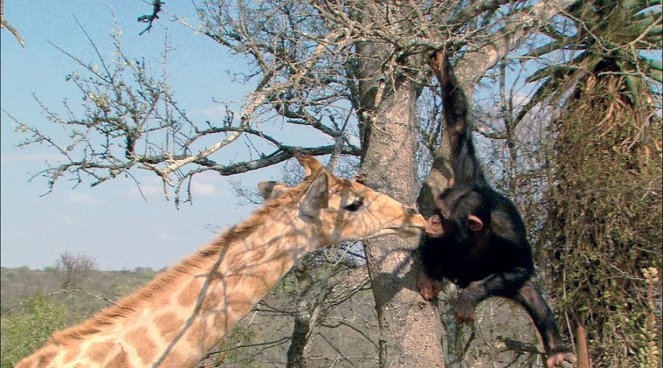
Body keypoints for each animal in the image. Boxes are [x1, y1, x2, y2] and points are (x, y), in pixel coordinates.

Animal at [418, 51, 580, 368]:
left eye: (445, 217)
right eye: (438, 212)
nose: (434, 219)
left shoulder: (512, 233)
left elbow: (522, 267)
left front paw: (469, 298)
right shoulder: (467, 176)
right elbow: (459, 127)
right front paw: (442, 67)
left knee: (529, 292)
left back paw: (557, 348)